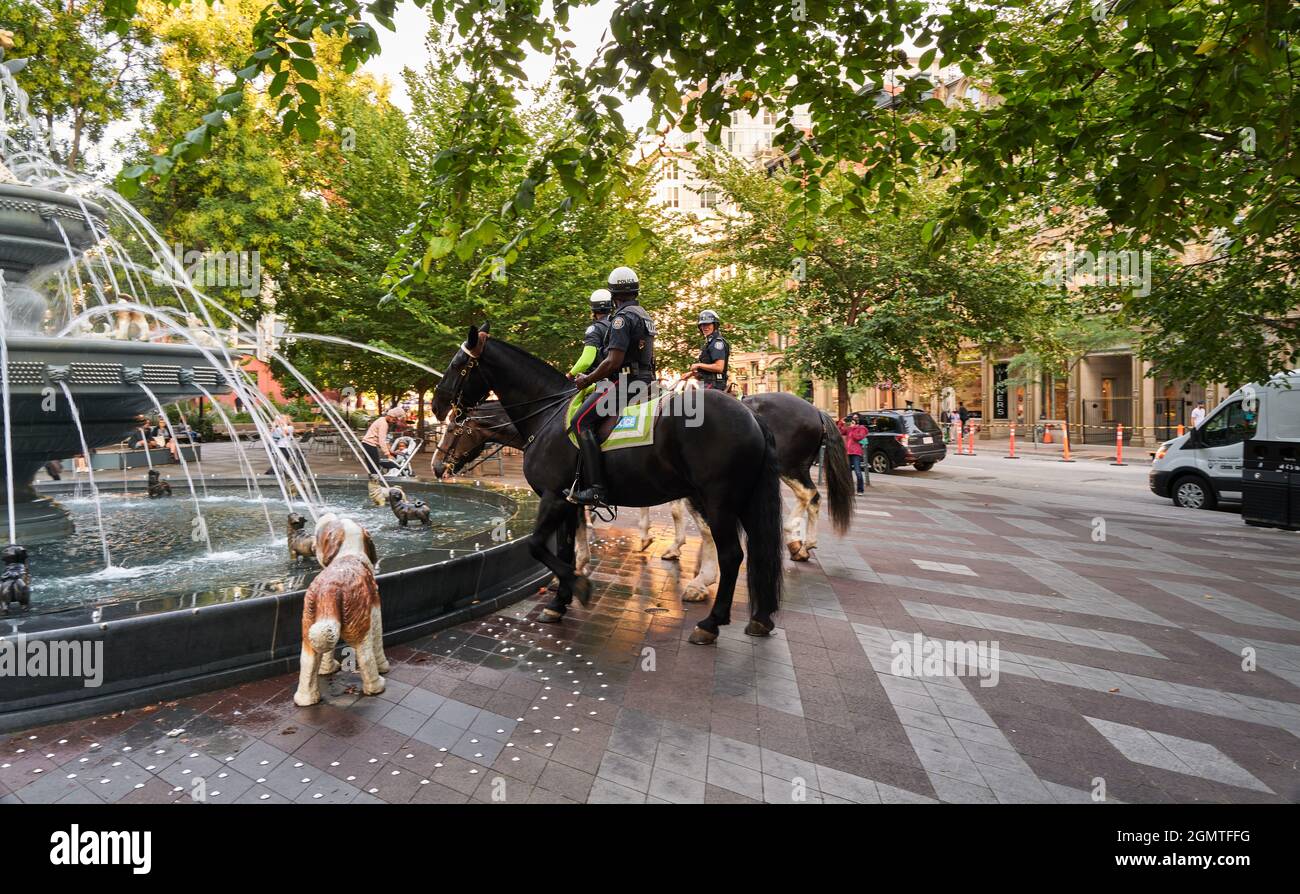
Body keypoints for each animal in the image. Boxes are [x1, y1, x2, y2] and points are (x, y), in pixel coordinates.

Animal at [434, 326, 780, 641]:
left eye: (457, 364)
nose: (438, 406)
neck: (547, 415)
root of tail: (750, 414)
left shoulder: (553, 497)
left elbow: (538, 545)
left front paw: (579, 585)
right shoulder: (568, 500)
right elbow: (565, 548)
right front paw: (560, 601)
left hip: (718, 500)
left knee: (731, 553)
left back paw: (710, 619)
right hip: (742, 499)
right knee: (757, 550)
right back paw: (759, 617)